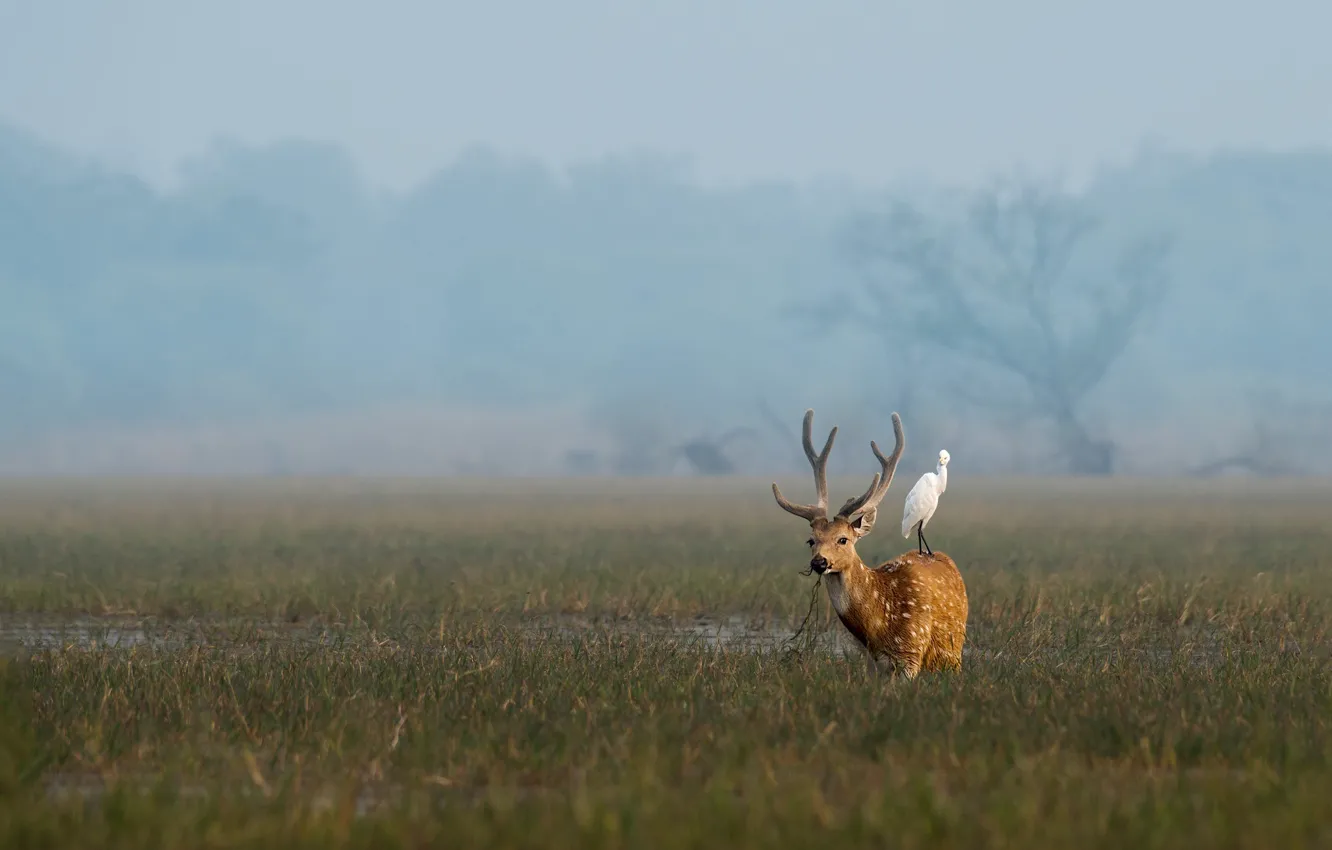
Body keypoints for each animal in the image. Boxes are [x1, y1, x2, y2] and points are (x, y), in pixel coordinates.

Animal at [772, 409, 968, 679]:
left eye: (843, 539)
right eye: (811, 539)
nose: (819, 561)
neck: (879, 627)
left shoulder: (912, 652)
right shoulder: (870, 662)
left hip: (954, 651)